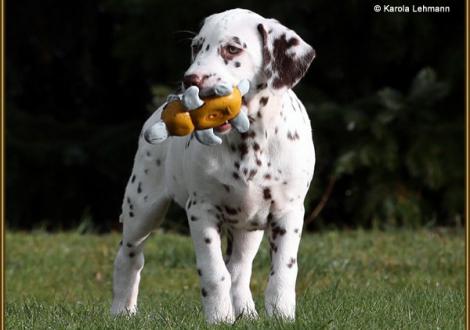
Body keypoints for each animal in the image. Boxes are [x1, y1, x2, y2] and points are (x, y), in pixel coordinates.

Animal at [110, 8, 316, 324]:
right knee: (129, 255)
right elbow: (214, 272)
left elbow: (283, 271)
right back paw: (122, 310)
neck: (249, 141)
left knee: (240, 269)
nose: (190, 80)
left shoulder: (288, 212)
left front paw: (281, 314)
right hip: (142, 206)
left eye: (232, 49)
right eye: (196, 47)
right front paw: (219, 316)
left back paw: (246, 312)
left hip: (248, 228)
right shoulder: (202, 211)